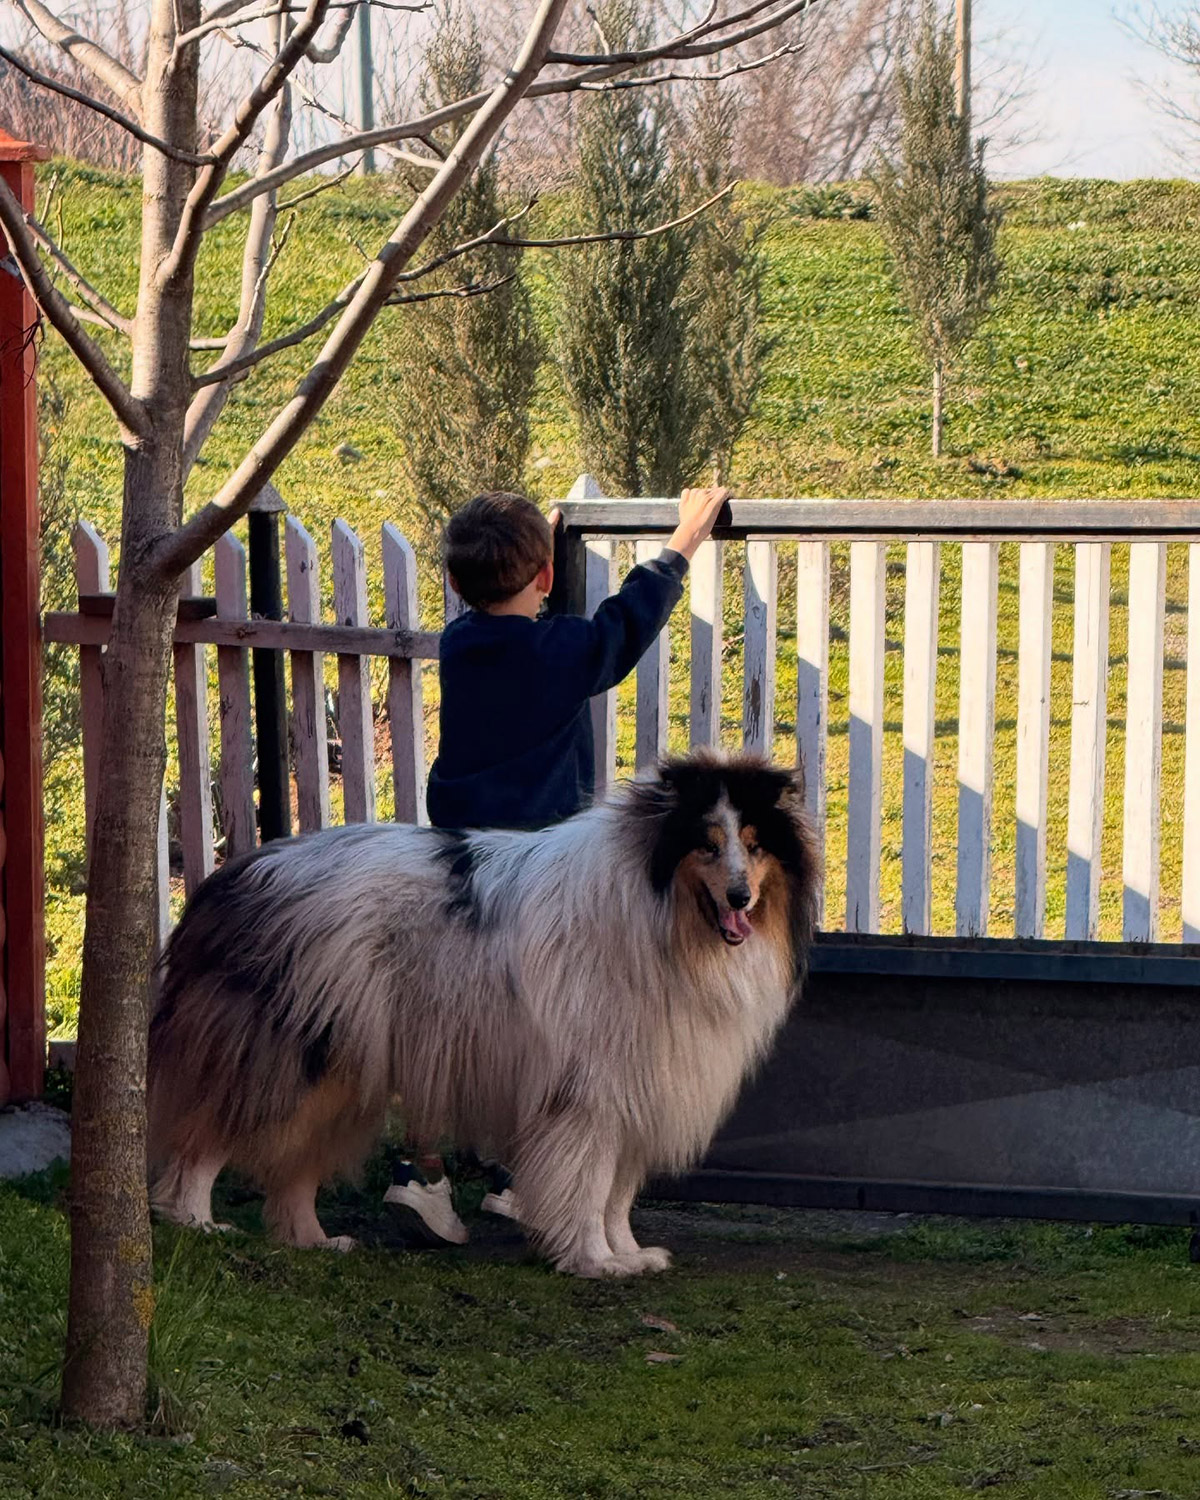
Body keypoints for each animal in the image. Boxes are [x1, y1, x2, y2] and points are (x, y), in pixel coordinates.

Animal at [150, 750, 822, 1278]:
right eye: (706, 844)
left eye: (755, 846)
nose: (741, 898)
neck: (663, 917)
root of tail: (226, 881)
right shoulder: (589, 1095)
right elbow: (590, 1187)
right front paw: (593, 1261)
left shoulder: (641, 1088)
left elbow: (617, 1194)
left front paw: (628, 1255)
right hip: (288, 1055)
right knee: (205, 1138)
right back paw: (195, 1222)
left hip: (341, 1068)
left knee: (294, 1162)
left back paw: (314, 1241)